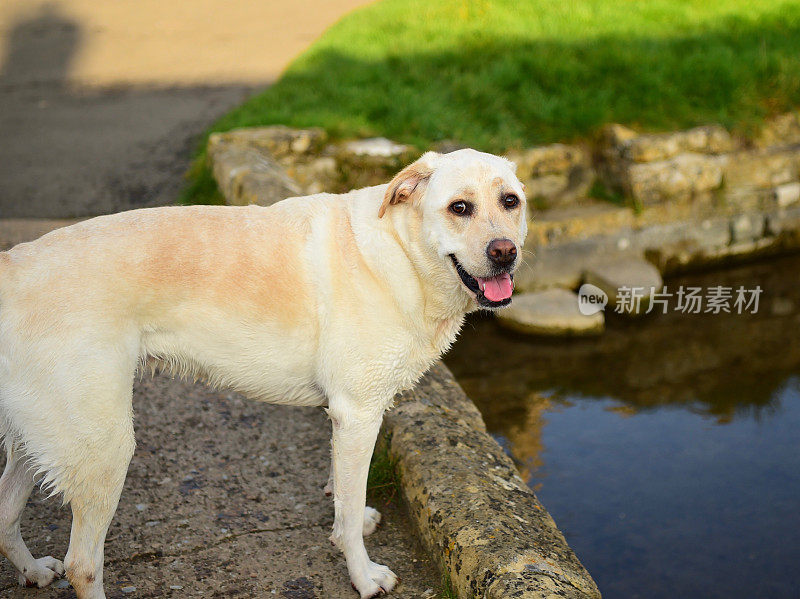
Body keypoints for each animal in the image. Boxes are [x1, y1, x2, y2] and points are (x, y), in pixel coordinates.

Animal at [0, 148, 528, 596]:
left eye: (511, 201)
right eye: (459, 207)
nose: (505, 252)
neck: (402, 251)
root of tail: (12, 266)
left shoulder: (345, 416)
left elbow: (344, 493)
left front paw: (352, 516)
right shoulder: (359, 413)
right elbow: (348, 508)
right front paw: (362, 574)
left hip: (39, 436)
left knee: (5, 515)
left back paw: (32, 571)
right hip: (101, 449)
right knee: (83, 564)